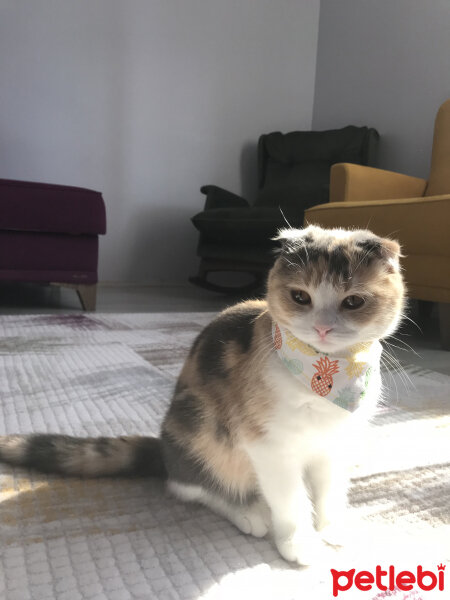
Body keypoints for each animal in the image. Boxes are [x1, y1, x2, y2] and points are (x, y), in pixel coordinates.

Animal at [0, 227, 404, 564]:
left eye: (353, 302)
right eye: (300, 297)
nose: (322, 327)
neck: (327, 375)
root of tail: (164, 450)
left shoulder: (335, 443)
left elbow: (329, 490)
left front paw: (330, 529)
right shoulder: (270, 446)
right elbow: (291, 499)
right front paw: (299, 541)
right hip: (199, 424)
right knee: (193, 486)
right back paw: (249, 511)